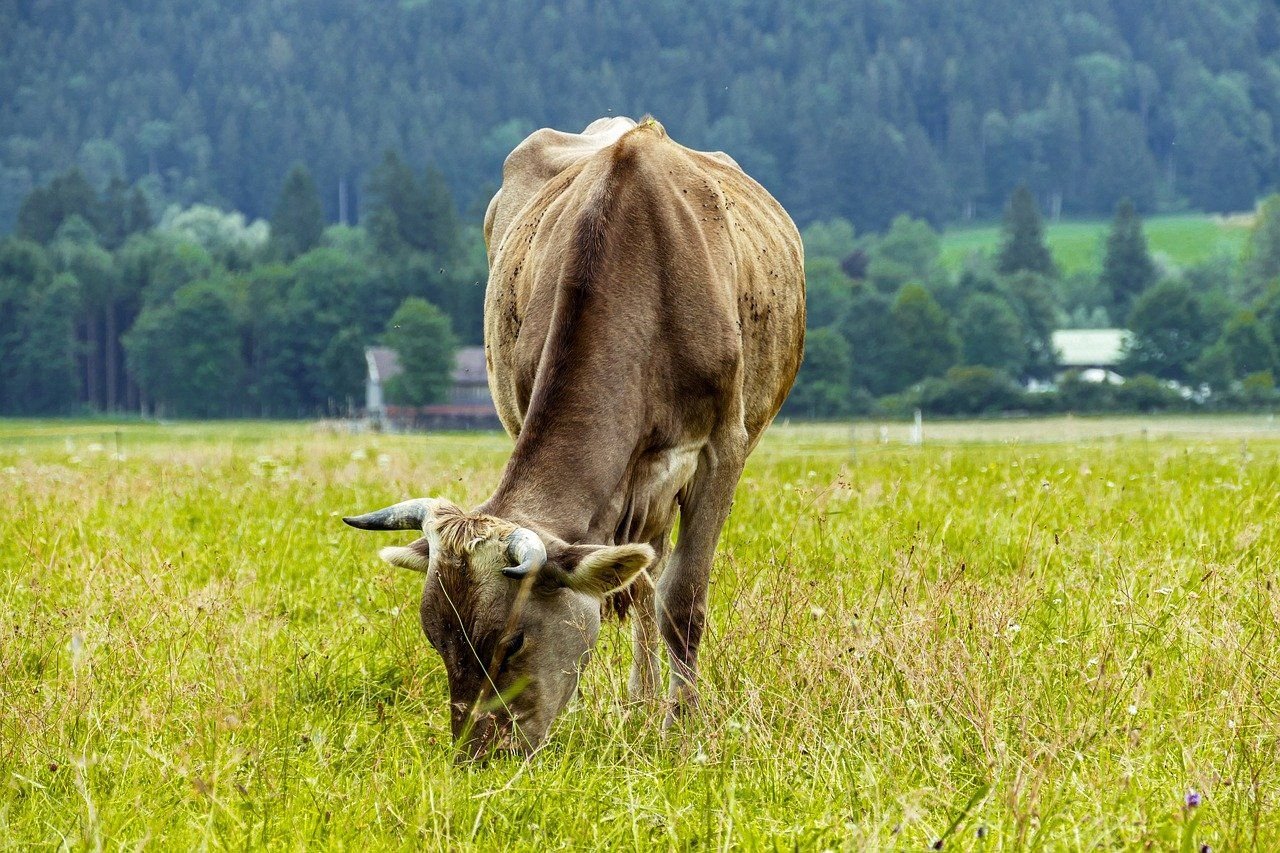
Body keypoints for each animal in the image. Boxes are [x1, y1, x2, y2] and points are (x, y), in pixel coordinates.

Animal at [345, 114, 803, 758]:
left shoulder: (722, 449)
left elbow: (683, 600)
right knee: (640, 582)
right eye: (436, 638)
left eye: (511, 642)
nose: (480, 757)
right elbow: (630, 588)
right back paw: (639, 701)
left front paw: (683, 728)